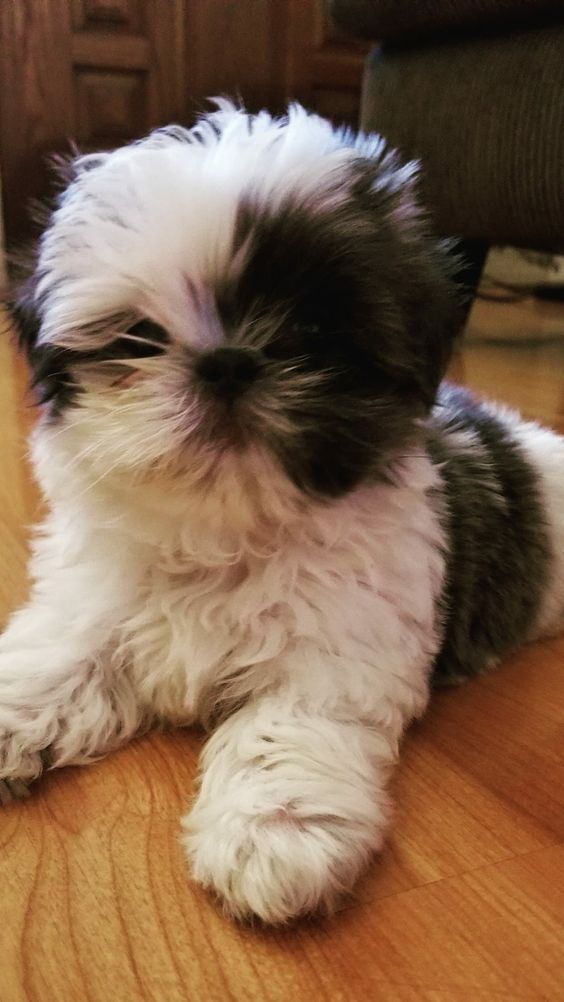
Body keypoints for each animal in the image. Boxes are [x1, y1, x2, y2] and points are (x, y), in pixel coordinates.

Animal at [1, 101, 564, 921]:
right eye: (138, 337)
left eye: (313, 334)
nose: (228, 362)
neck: (225, 533)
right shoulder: (92, 602)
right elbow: (54, 655)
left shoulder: (339, 652)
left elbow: (284, 728)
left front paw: (274, 829)